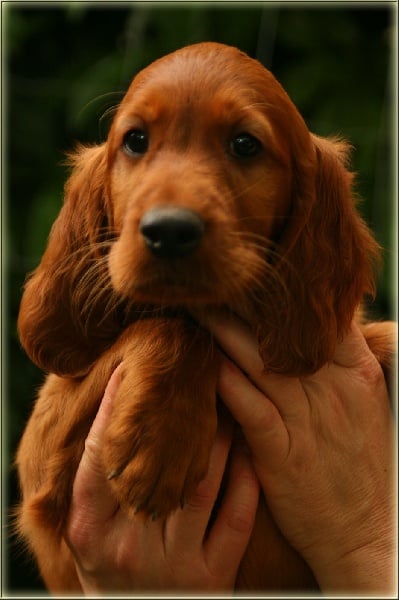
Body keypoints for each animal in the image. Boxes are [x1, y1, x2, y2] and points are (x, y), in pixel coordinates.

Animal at [14, 42, 394, 592]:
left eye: (244, 144)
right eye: (135, 140)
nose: (169, 231)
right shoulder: (43, 461)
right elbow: (173, 325)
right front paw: (161, 443)